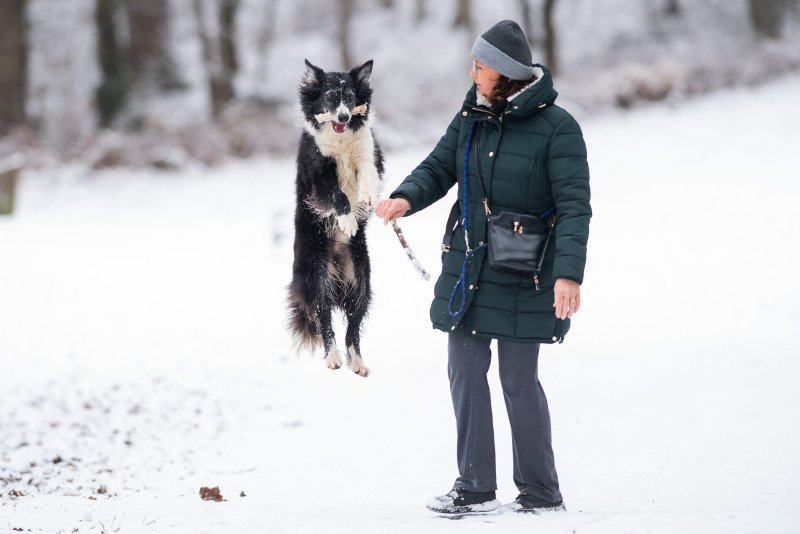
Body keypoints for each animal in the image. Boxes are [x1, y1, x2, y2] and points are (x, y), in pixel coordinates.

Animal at [288, 58, 384, 378]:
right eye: (330, 96)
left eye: (351, 97)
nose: (344, 116)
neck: (341, 140)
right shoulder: (317, 173)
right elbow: (337, 195)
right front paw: (348, 221)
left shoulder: (368, 156)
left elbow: (366, 174)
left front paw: (365, 198)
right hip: (317, 278)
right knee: (325, 320)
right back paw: (333, 358)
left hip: (361, 281)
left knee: (353, 326)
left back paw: (357, 362)